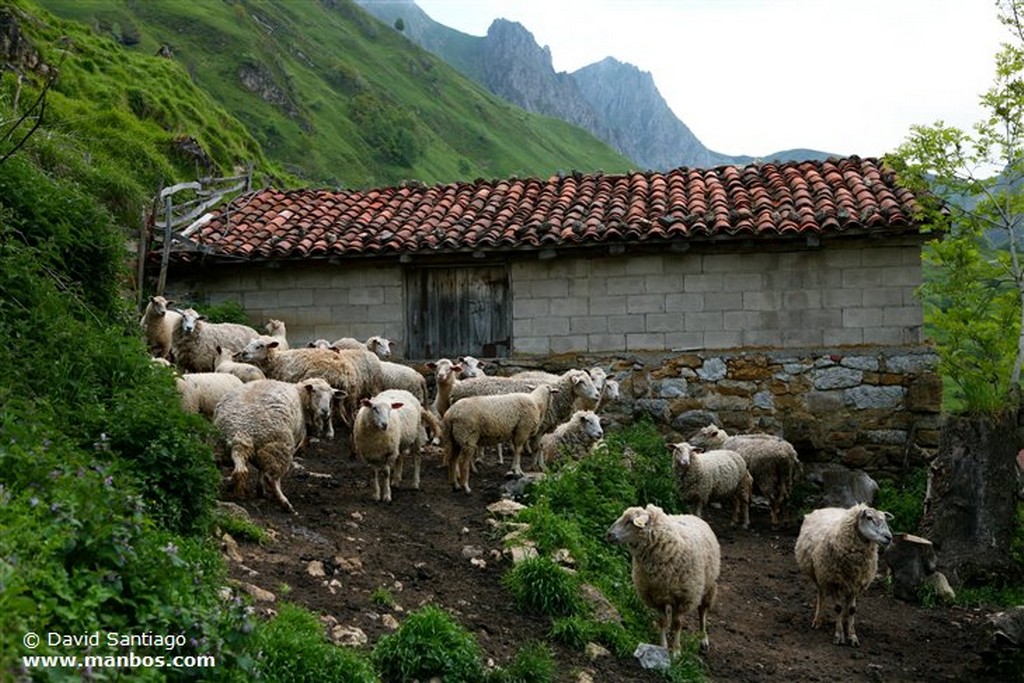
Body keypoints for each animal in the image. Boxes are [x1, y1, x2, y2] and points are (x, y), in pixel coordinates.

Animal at [211, 376, 339, 516]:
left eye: (332, 396)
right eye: (314, 391)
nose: (326, 412)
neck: (300, 396)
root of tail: (241, 431)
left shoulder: (262, 449)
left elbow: (261, 468)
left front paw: (260, 490)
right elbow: (263, 471)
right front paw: (262, 490)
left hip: (220, 446)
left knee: (231, 469)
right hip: (279, 447)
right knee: (272, 478)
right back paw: (285, 503)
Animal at [606, 505, 720, 655]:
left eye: (630, 521)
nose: (608, 534)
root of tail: (691, 515)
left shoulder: (684, 597)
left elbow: (678, 623)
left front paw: (676, 651)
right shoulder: (656, 596)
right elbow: (662, 621)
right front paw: (663, 646)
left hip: (708, 586)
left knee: (702, 612)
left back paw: (703, 639)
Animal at [794, 507, 892, 647]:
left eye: (884, 519)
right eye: (869, 517)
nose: (889, 537)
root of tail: (827, 508)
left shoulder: (856, 583)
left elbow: (852, 609)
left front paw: (852, 635)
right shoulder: (834, 582)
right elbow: (838, 608)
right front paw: (839, 635)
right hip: (819, 575)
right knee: (821, 595)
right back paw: (818, 619)